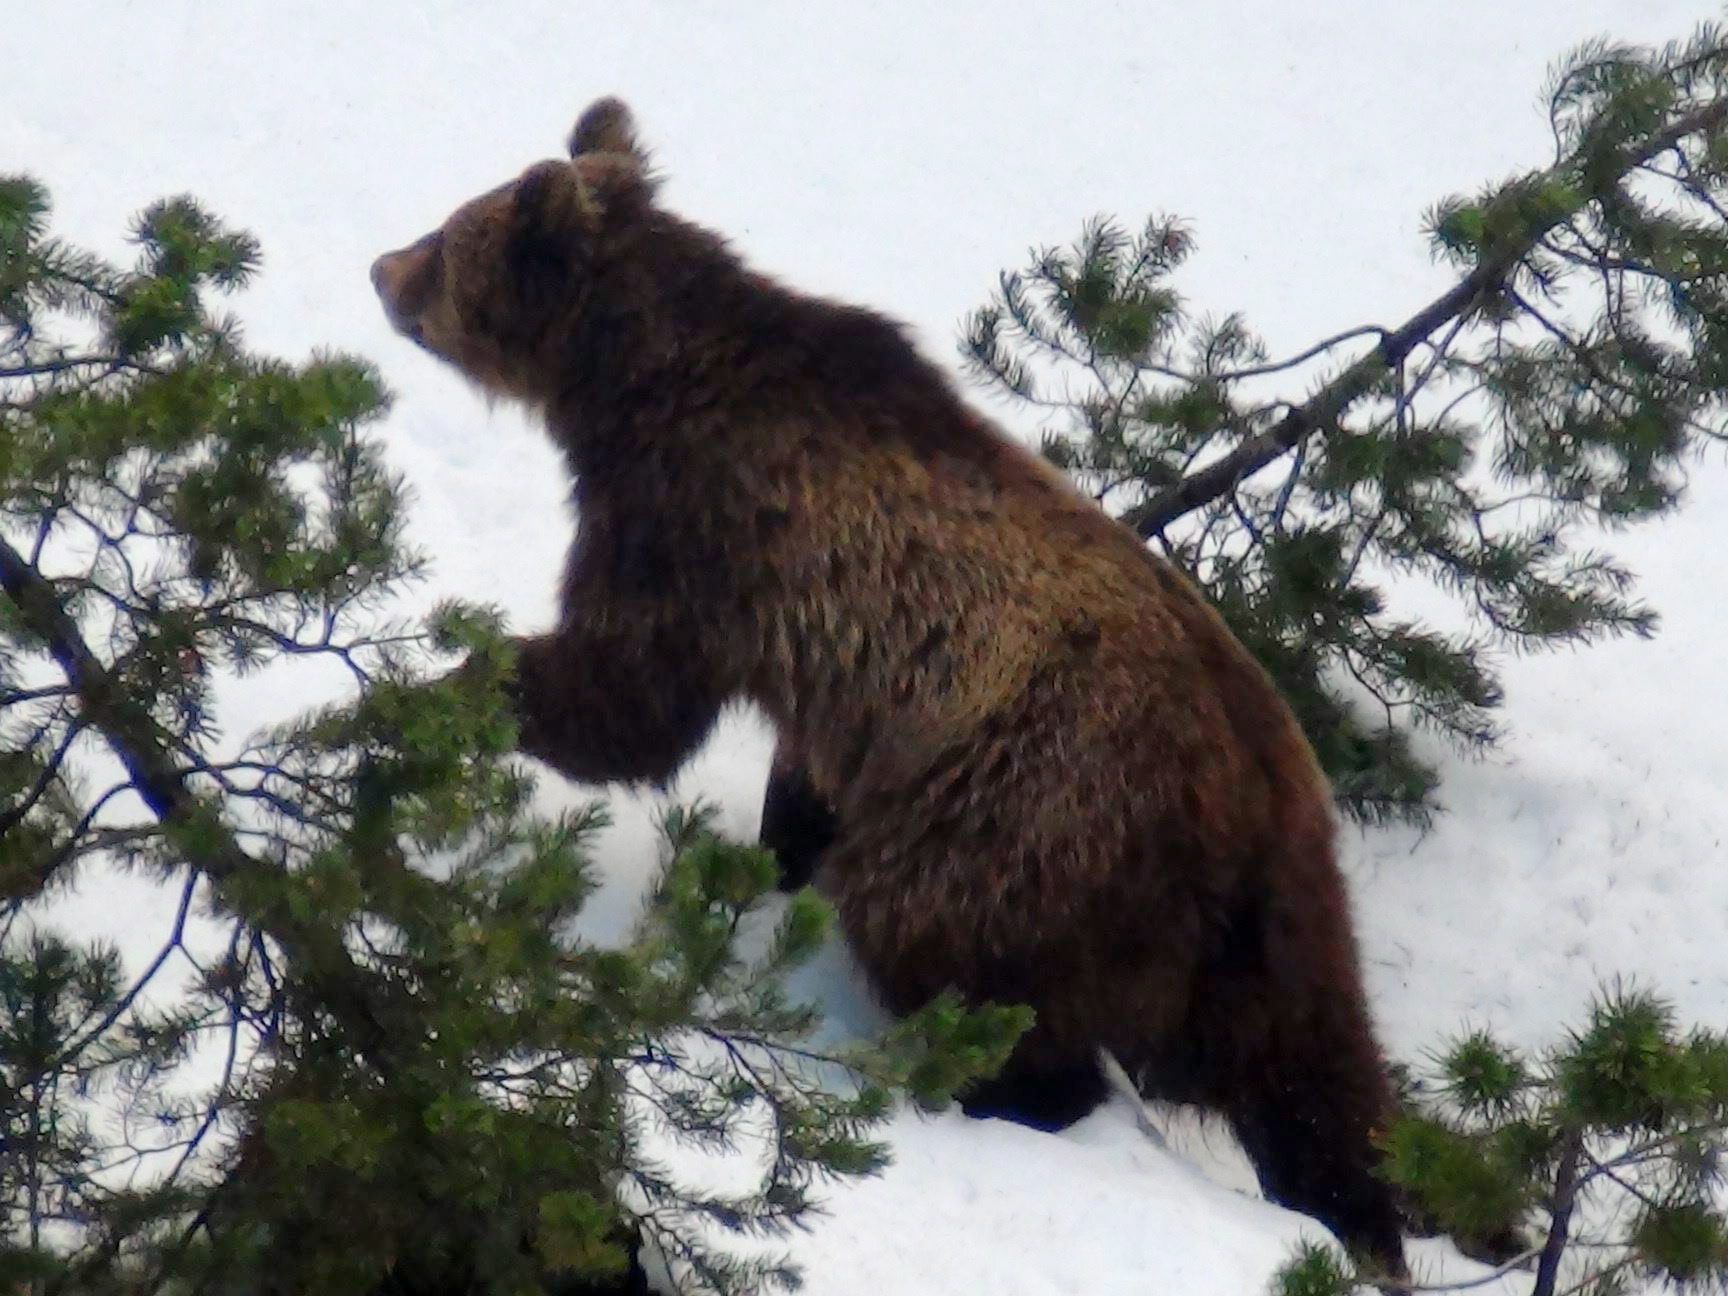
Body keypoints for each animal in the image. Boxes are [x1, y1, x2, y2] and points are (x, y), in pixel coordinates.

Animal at [371, 98, 1410, 1278]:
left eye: (450, 238)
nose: (381, 268)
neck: (634, 382)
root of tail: (1251, 798)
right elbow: (786, 770)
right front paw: (772, 854)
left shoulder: (693, 524)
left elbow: (624, 700)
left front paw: (436, 685)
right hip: (1283, 916)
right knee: (1318, 1078)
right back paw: (1362, 1218)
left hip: (1026, 814)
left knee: (950, 942)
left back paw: (982, 1087)